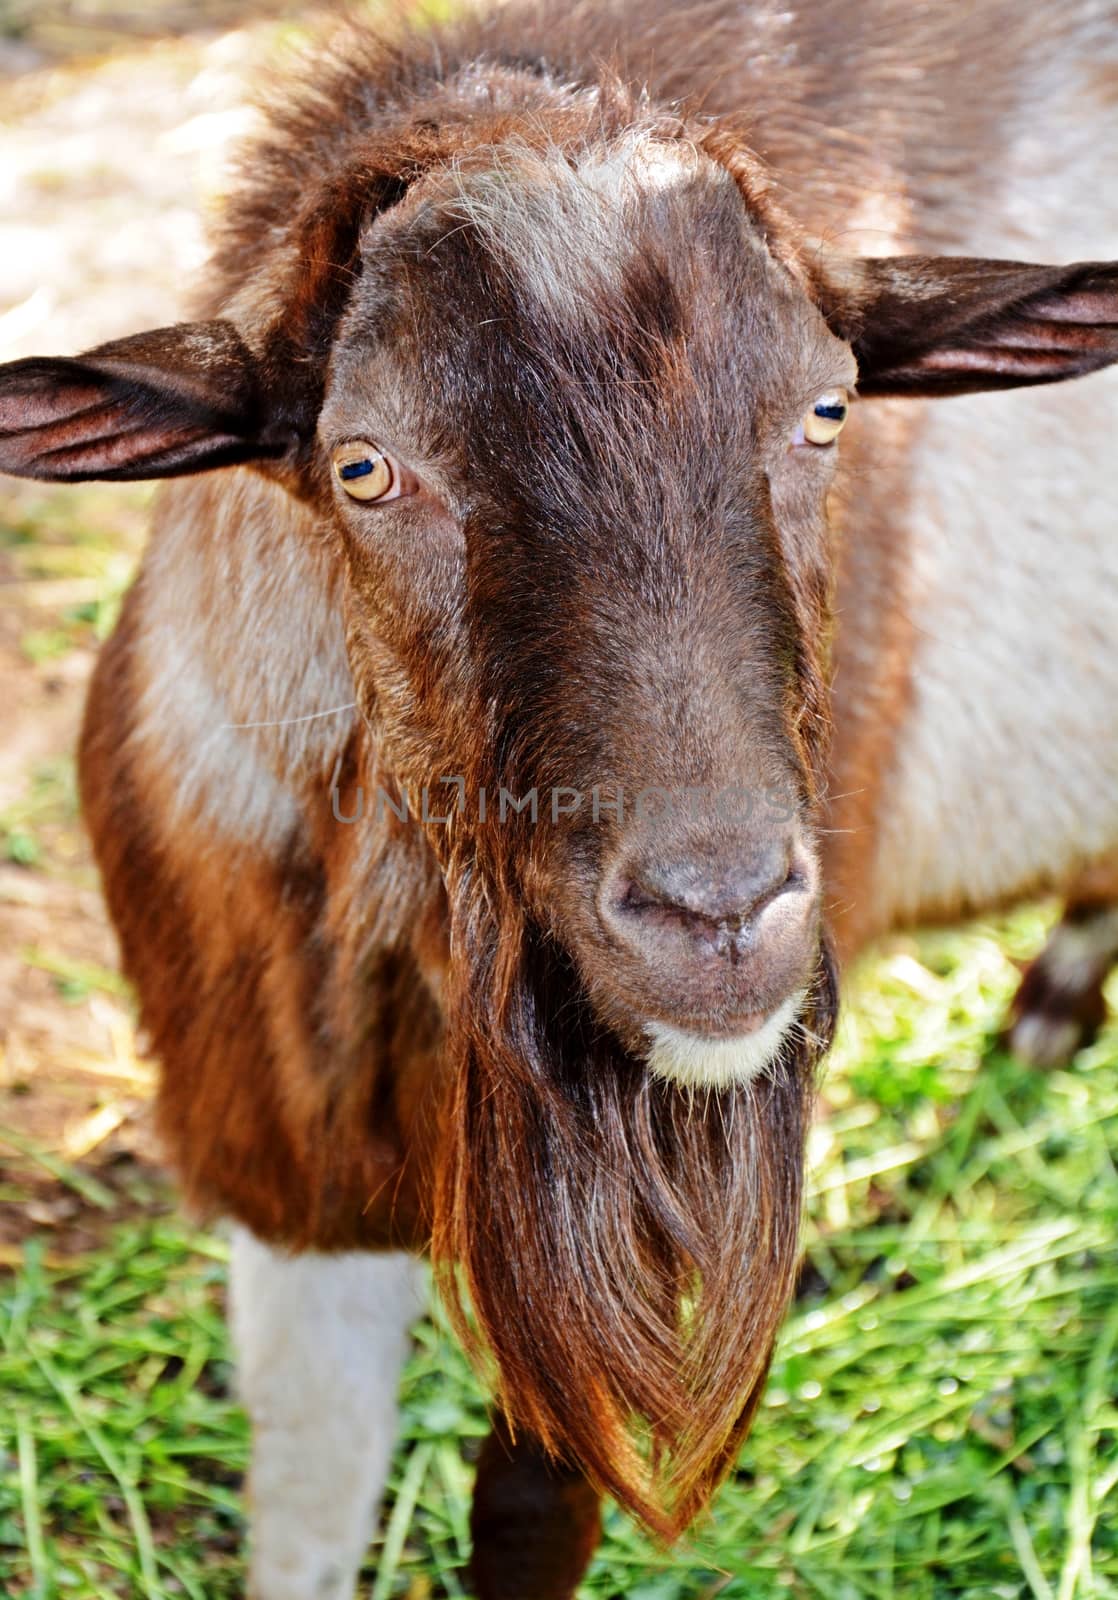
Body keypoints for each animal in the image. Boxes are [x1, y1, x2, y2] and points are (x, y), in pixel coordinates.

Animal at [0, 0, 1113, 1593]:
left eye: (825, 408)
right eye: (364, 465)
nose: (716, 913)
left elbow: (527, 1516)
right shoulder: (289, 1159)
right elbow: (306, 1488)